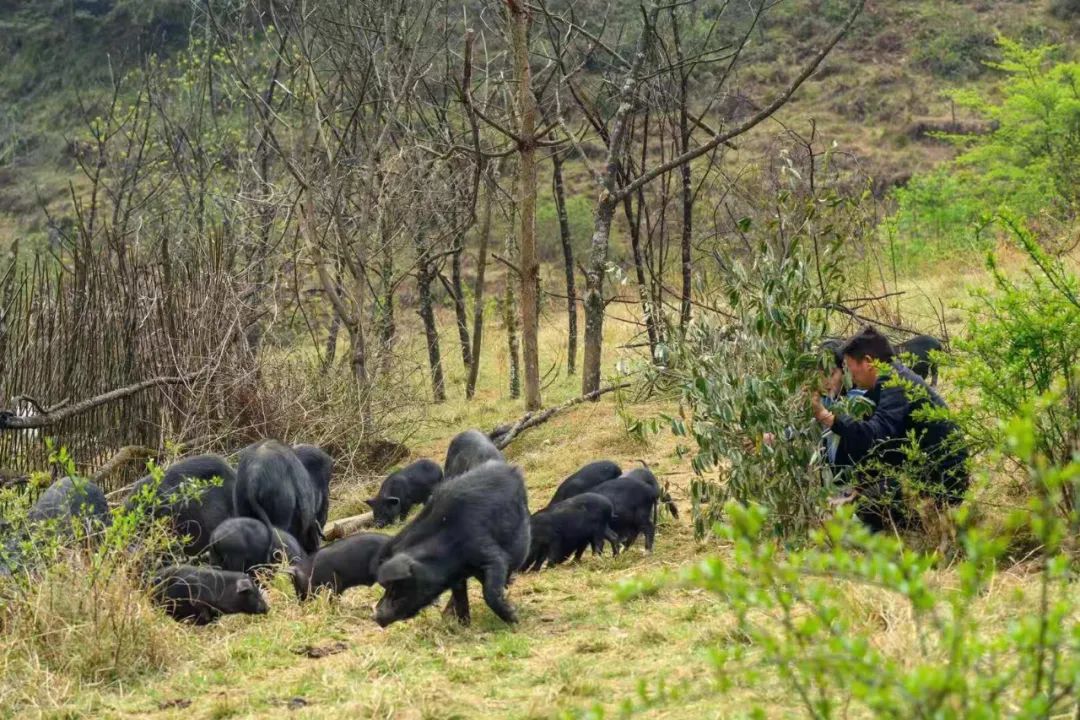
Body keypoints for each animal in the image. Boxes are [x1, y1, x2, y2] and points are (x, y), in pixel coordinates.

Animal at [371, 462, 531, 626]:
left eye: (396, 586)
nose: (375, 616)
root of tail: (511, 469)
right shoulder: (457, 578)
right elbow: (461, 598)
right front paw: (463, 626)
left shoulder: (488, 552)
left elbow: (490, 590)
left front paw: (514, 619)